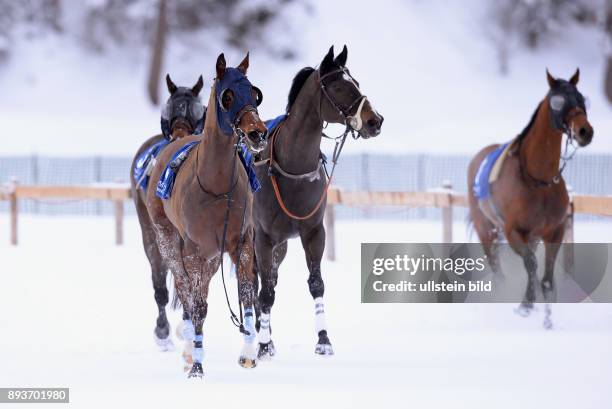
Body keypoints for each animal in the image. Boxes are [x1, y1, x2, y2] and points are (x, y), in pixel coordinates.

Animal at [140, 53, 268, 376]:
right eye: (228, 96)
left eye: (254, 94)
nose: (258, 133)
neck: (217, 184)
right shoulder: (193, 251)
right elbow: (195, 303)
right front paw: (196, 364)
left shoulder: (240, 244)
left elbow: (247, 294)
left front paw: (248, 353)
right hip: (167, 242)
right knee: (185, 290)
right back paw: (188, 349)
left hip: (212, 256)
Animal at [252, 45, 382, 356]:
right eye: (339, 86)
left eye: (356, 83)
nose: (376, 121)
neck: (292, 169)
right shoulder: (262, 237)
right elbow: (265, 293)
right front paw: (263, 346)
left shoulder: (313, 232)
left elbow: (316, 284)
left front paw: (323, 339)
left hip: (281, 246)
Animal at [468, 68, 592, 326]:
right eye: (558, 102)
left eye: (581, 98)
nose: (584, 131)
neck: (538, 182)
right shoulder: (514, 232)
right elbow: (531, 264)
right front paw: (526, 304)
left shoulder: (554, 232)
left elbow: (546, 275)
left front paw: (546, 310)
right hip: (486, 230)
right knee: (496, 267)